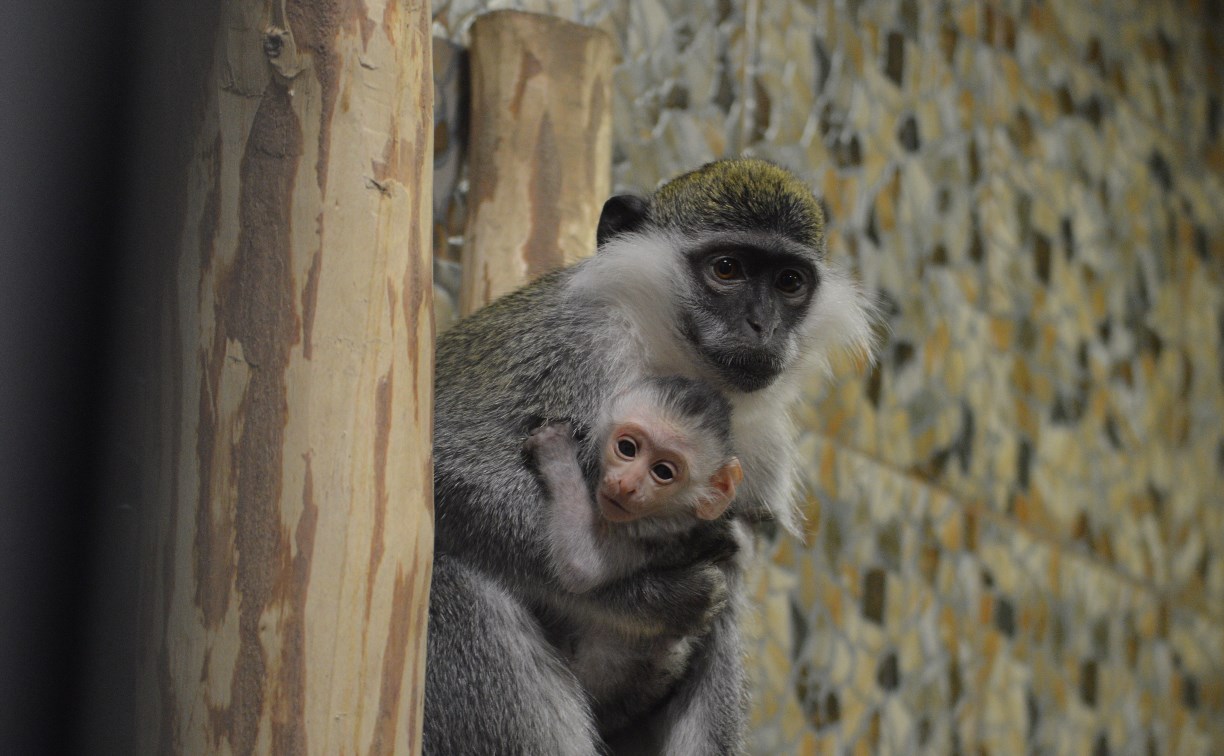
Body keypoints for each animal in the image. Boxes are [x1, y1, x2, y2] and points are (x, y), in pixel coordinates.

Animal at [523, 374, 744, 738]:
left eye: (663, 472)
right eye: (627, 448)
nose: (626, 484)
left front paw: (556, 452)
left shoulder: (645, 534)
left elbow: (581, 566)